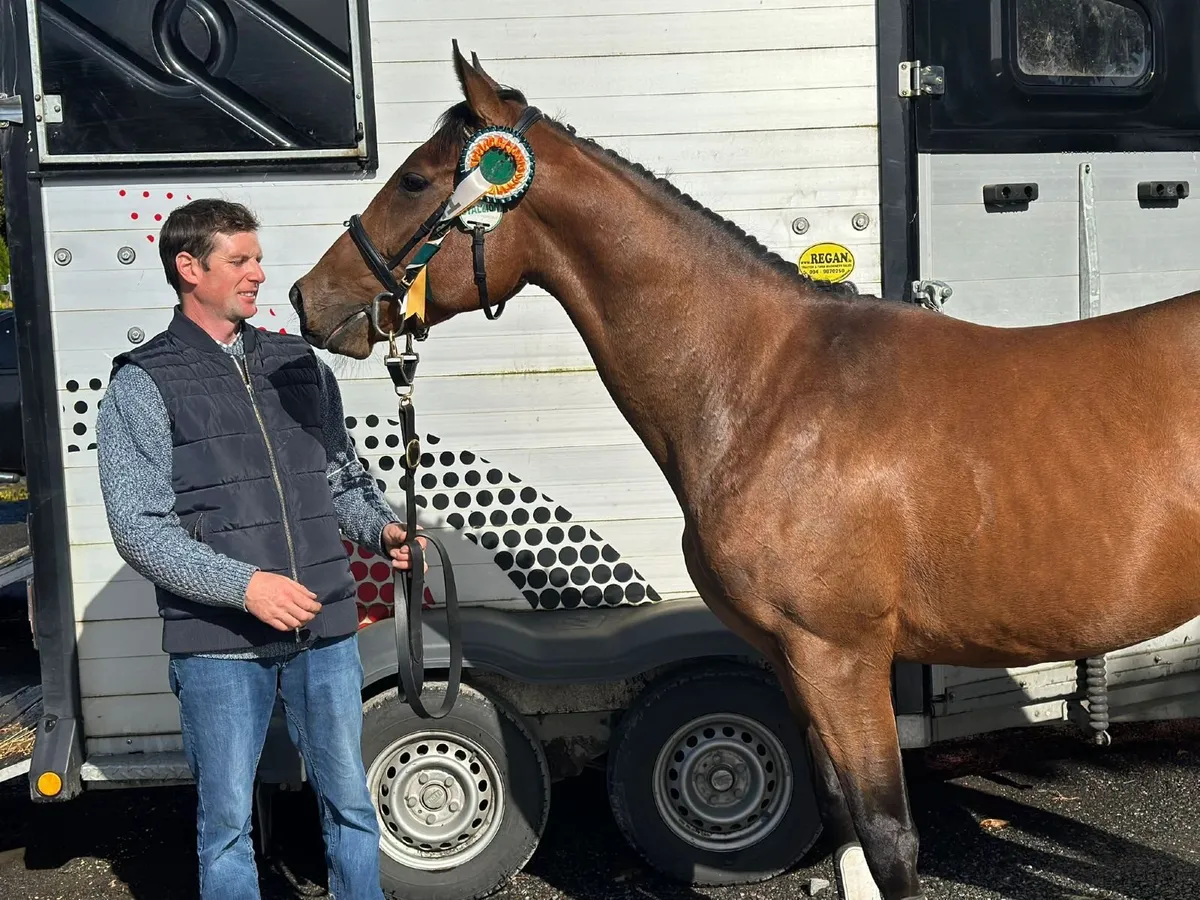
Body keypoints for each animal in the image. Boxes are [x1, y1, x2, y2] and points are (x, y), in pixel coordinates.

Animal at [289, 45, 1200, 899]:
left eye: (414, 179)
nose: (308, 297)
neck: (767, 386)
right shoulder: (797, 665)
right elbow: (846, 838)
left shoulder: (841, 658)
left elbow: (887, 841)